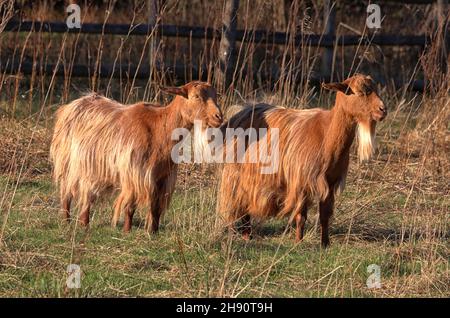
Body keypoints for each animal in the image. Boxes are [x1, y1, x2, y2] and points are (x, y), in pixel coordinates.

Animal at [50, 80, 222, 232]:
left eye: (215, 95)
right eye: (196, 96)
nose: (218, 117)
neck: (160, 128)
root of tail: (69, 106)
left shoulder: (163, 178)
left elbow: (156, 207)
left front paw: (154, 232)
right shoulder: (135, 174)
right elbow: (130, 206)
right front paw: (127, 231)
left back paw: (82, 222)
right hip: (67, 161)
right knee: (67, 190)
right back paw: (69, 221)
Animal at [219, 74, 386, 246]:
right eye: (359, 92)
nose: (383, 110)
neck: (326, 134)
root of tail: (240, 112)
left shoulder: (330, 182)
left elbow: (325, 216)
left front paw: (325, 244)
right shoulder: (301, 181)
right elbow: (301, 216)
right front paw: (298, 242)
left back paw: (247, 235)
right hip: (237, 174)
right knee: (237, 201)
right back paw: (241, 234)